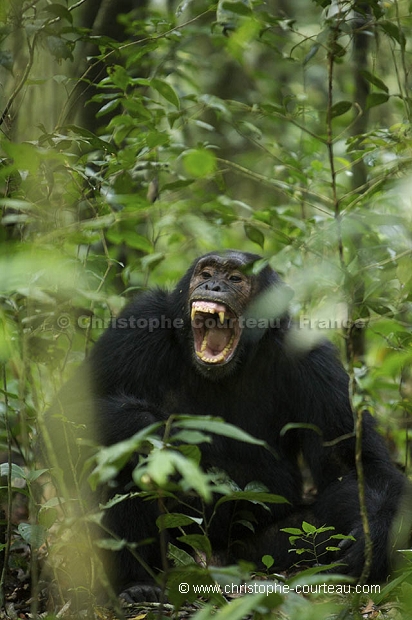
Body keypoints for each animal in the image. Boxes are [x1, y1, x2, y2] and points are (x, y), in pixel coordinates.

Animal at [47, 251, 408, 600]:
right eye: (206, 273)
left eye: (235, 278)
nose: (214, 286)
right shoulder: (136, 325)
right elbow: (67, 415)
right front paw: (168, 436)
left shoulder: (314, 359)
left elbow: (353, 466)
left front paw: (373, 541)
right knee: (123, 458)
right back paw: (138, 583)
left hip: (253, 553)